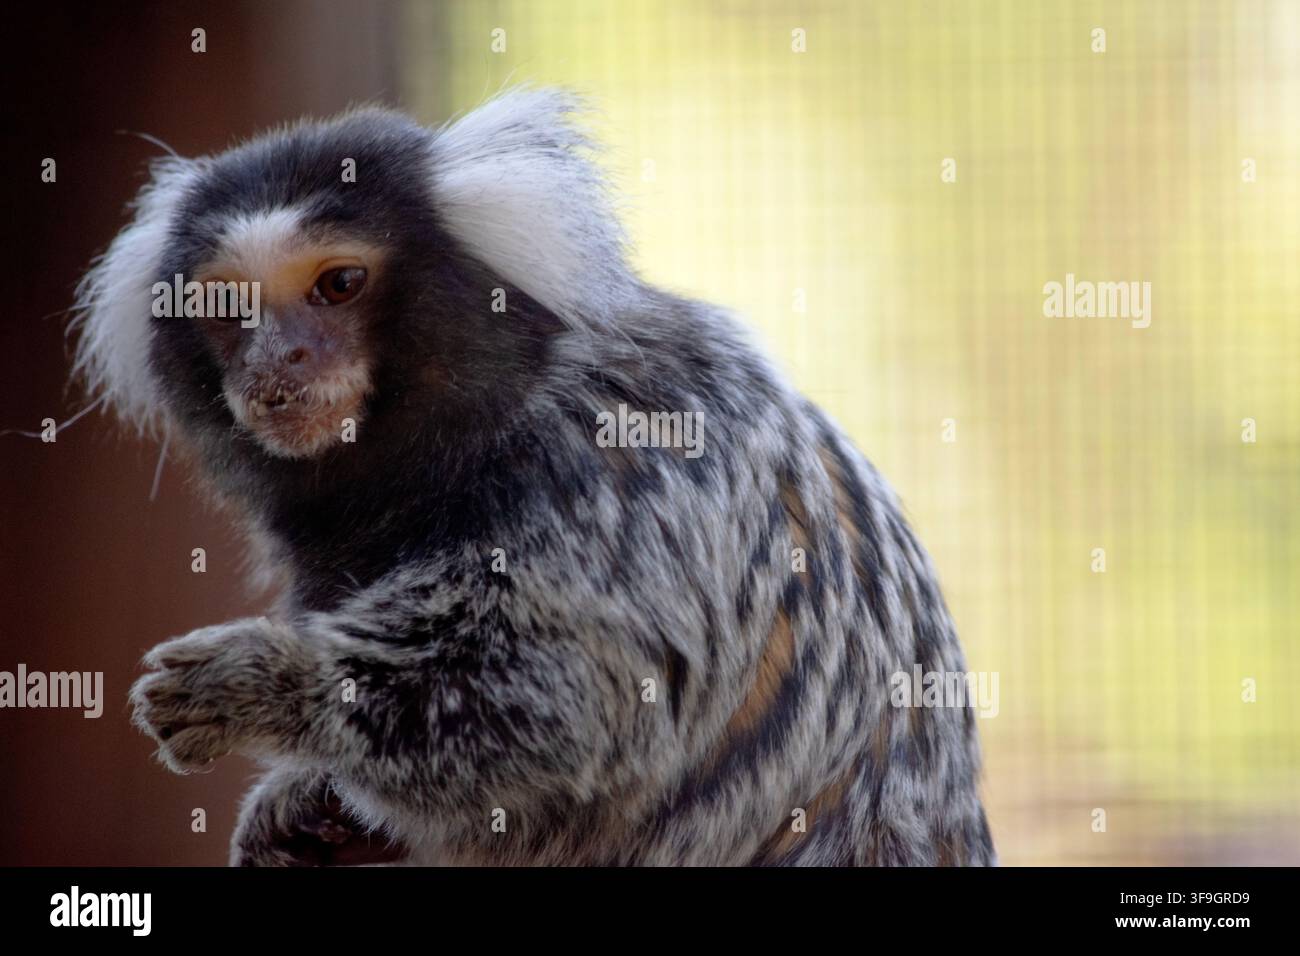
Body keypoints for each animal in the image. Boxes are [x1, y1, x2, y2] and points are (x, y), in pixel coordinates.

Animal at [72, 87, 995, 866]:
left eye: (339, 285)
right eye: (230, 309)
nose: (277, 360)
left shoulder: (615, 468)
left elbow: (568, 696)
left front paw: (263, 682)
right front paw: (303, 802)